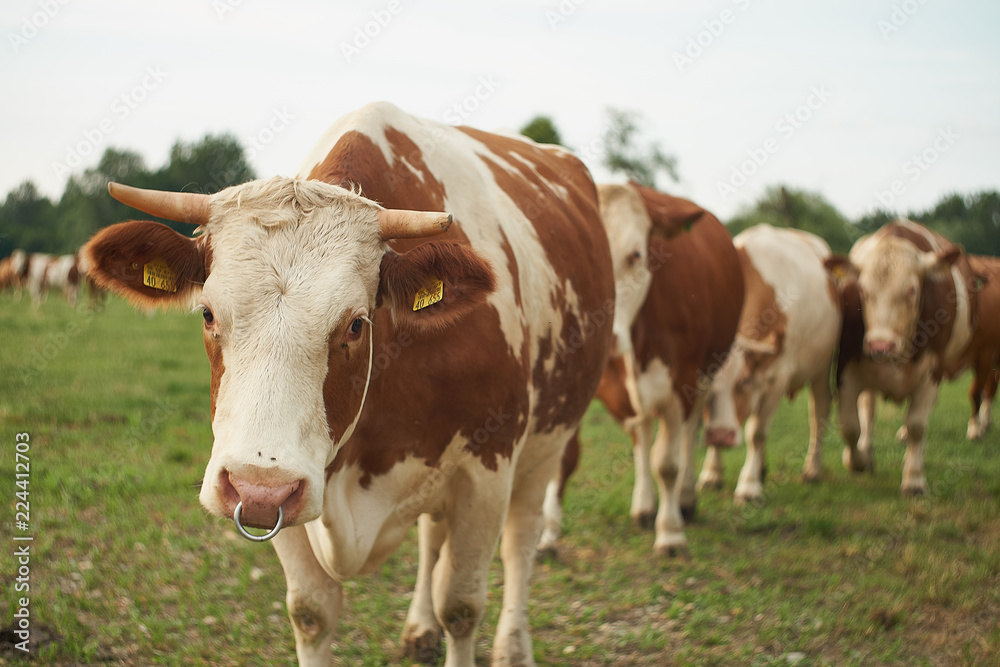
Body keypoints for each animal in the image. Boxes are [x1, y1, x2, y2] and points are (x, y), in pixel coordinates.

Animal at [84, 100, 616, 667]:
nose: (257, 487)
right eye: (207, 313)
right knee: (432, 536)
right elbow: (312, 612)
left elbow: (461, 606)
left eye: (357, 324)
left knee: (519, 543)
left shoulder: (485, 473)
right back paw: (419, 627)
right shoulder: (284, 494)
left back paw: (513, 645)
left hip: (546, 446)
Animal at [540, 183, 744, 560]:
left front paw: (671, 534)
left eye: (635, 254)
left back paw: (684, 501)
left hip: (705, 375)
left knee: (688, 435)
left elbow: (668, 463)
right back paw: (645, 506)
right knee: (643, 433)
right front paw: (546, 535)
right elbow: (562, 461)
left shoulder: (682, 382)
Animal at [696, 227, 844, 504]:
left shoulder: (779, 376)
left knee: (818, 411)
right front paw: (711, 474)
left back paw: (812, 469)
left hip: (822, 367)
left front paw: (749, 486)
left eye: (743, 381)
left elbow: (757, 433)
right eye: (706, 386)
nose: (721, 435)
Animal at [828, 220, 976, 496]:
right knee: (868, 409)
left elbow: (918, 425)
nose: (880, 345)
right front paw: (857, 461)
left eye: (912, 290)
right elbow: (850, 426)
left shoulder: (932, 372)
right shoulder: (847, 369)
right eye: (862, 290)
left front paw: (914, 479)